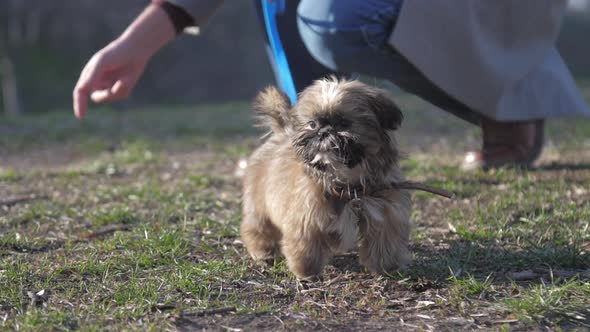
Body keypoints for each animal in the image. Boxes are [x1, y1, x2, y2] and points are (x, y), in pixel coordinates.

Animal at [240, 78, 412, 280]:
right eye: (312, 124)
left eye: (344, 123)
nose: (323, 132)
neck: (347, 184)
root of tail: (281, 132)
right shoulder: (306, 218)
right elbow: (305, 247)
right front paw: (307, 273)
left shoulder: (385, 213)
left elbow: (384, 244)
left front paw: (387, 269)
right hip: (259, 206)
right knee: (257, 229)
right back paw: (263, 253)